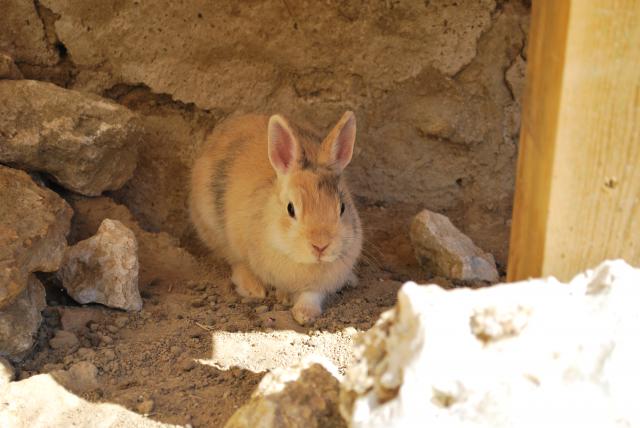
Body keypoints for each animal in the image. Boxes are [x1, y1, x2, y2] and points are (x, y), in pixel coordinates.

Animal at [188, 111, 362, 324]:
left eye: (342, 208)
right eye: (291, 209)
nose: (320, 246)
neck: (305, 262)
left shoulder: (323, 282)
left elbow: (312, 295)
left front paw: (304, 314)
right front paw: (278, 295)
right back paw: (252, 288)